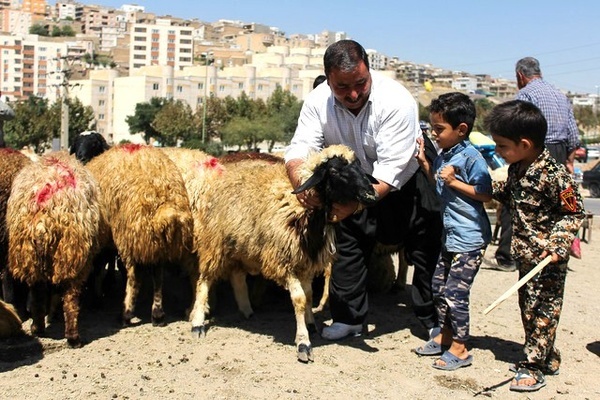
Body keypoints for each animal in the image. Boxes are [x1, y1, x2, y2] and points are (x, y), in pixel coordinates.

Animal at [6, 152, 100, 346]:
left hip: (34, 254)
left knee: (40, 293)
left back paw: (41, 328)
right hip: (71, 255)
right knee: (68, 298)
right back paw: (71, 337)